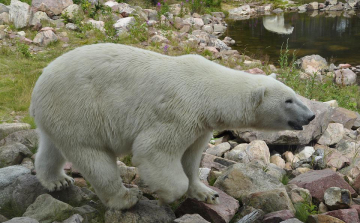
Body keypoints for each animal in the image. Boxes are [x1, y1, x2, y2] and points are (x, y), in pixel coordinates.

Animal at [29, 43, 314, 209]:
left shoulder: (200, 125)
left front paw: (206, 193)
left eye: (295, 94)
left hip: (61, 115)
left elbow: (191, 157)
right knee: (94, 157)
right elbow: (154, 151)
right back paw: (125, 199)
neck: (208, 91)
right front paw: (167, 194)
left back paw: (57, 181)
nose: (310, 116)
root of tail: (39, 82)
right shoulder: (179, 113)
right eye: (289, 100)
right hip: (81, 109)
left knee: (52, 147)